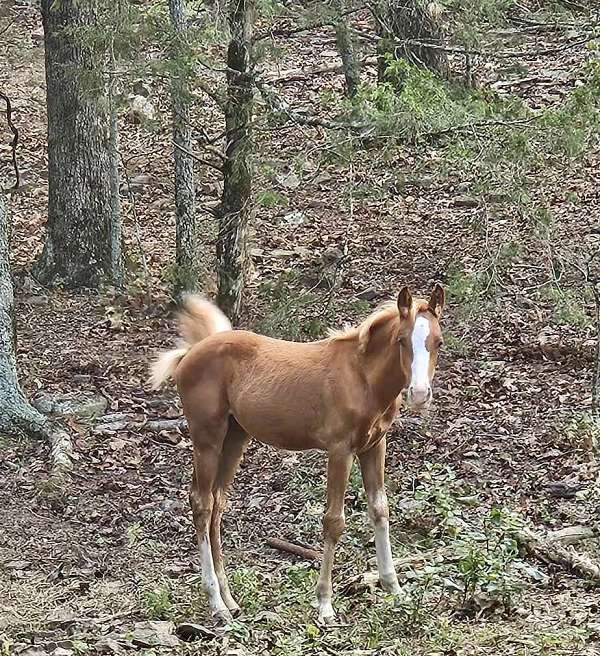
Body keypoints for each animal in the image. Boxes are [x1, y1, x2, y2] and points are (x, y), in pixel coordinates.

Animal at [151, 284, 446, 624]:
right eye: (401, 340)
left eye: (438, 341)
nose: (420, 395)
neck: (362, 378)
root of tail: (190, 352)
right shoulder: (340, 449)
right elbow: (334, 521)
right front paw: (324, 603)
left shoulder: (374, 446)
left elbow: (380, 509)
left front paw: (393, 587)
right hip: (206, 438)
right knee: (201, 503)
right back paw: (216, 603)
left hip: (235, 438)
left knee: (217, 504)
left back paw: (230, 599)